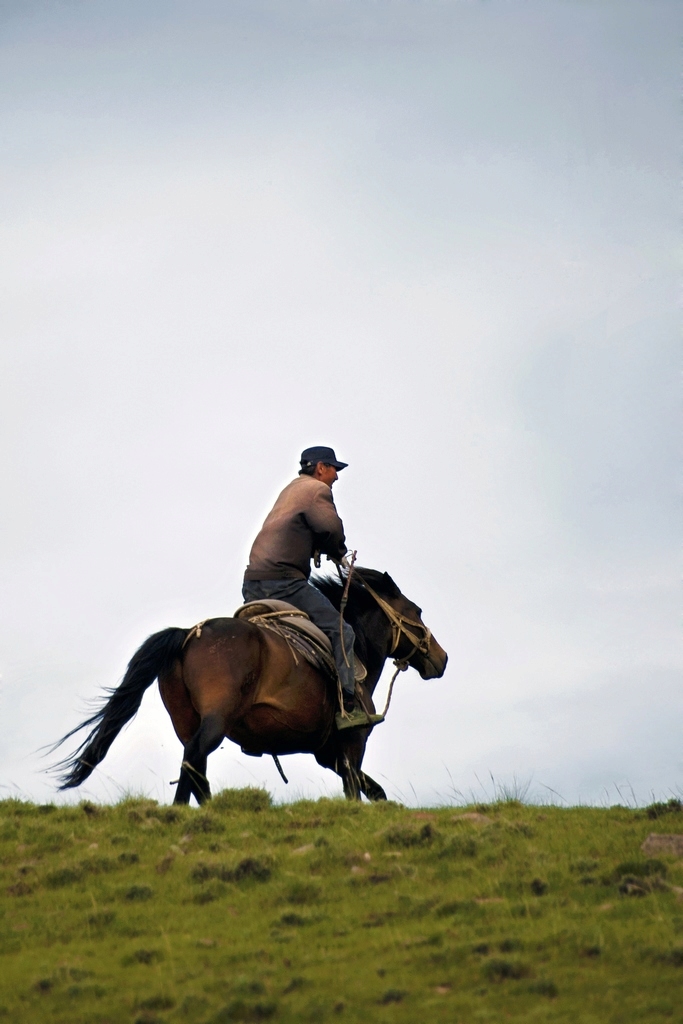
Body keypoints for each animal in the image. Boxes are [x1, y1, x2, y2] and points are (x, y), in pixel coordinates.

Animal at [53, 569, 448, 798]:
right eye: (417, 611)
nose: (441, 658)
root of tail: (188, 634)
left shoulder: (328, 755)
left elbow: (376, 792)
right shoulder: (351, 747)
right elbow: (356, 792)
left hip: (187, 721)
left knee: (195, 768)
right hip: (215, 721)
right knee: (193, 760)